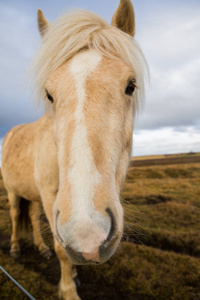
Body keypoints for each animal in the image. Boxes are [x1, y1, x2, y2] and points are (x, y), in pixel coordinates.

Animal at [1, 1, 147, 298]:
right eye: (49, 94)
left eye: (130, 86)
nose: (87, 234)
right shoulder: (50, 197)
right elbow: (61, 249)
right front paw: (68, 289)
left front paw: (75, 276)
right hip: (12, 191)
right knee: (15, 214)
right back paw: (15, 249)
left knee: (31, 217)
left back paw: (41, 249)